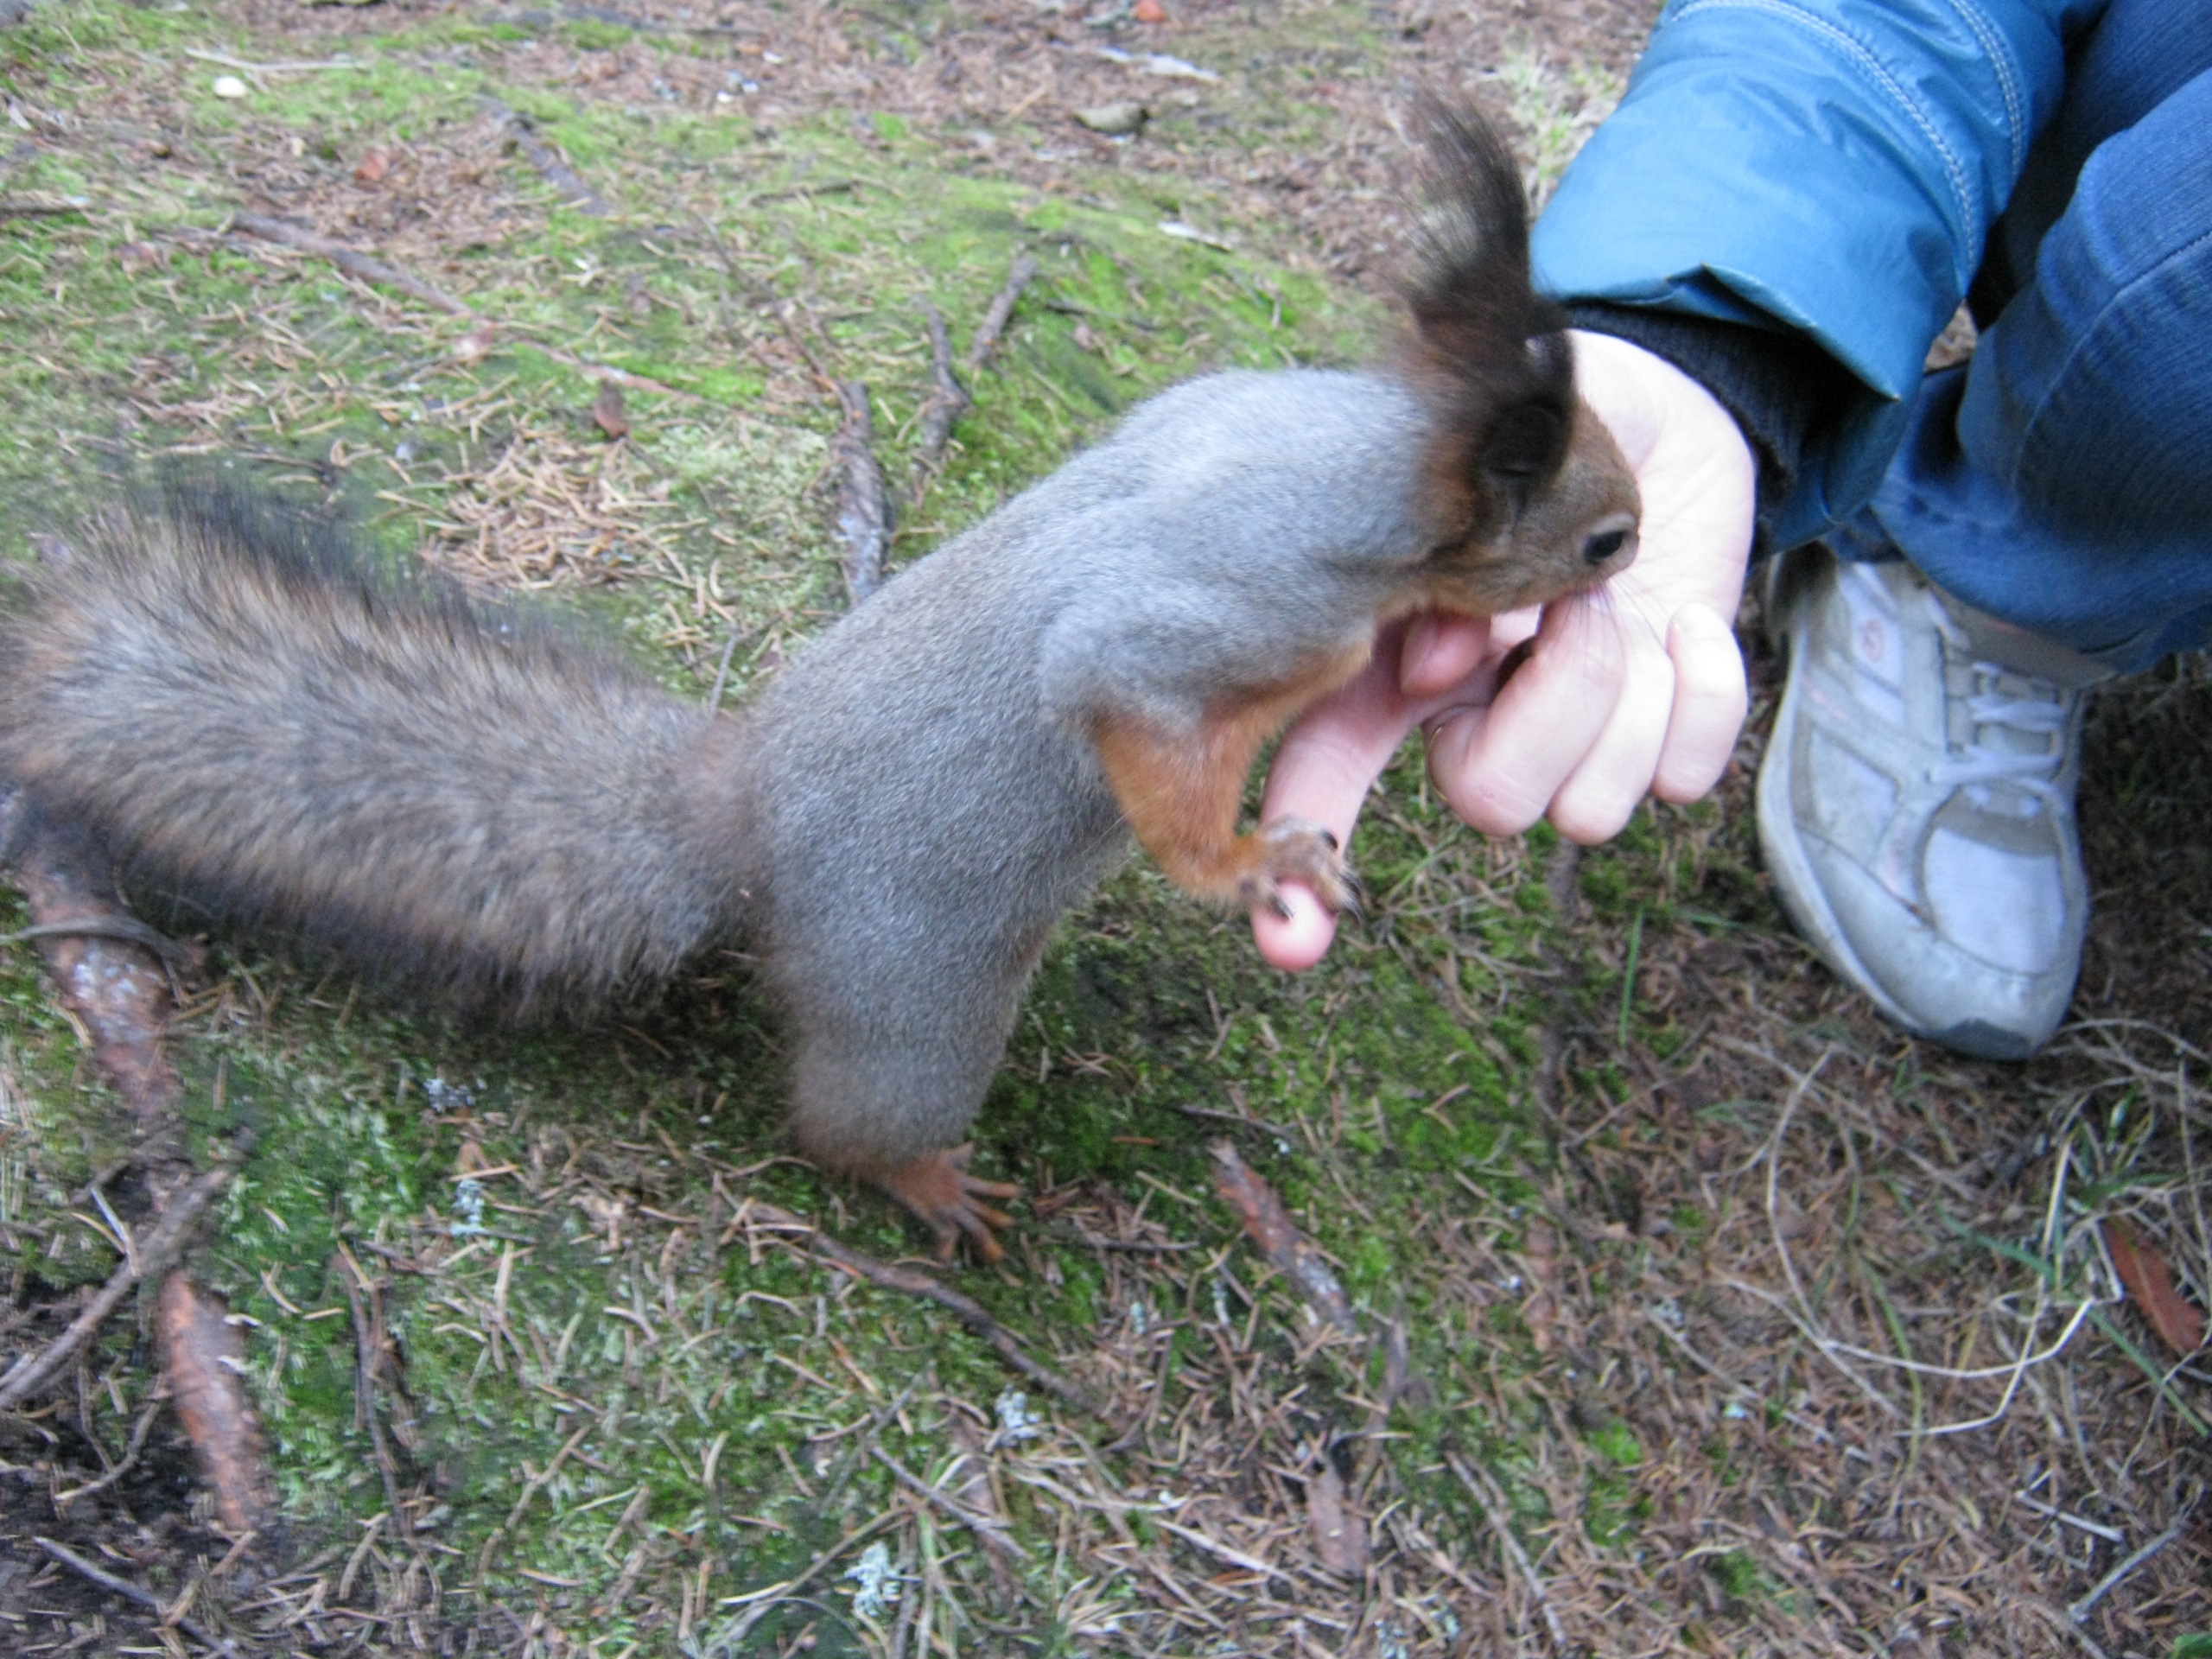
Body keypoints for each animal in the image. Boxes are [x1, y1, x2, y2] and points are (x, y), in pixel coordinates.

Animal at [0, 109, 1637, 1262]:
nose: (1632, 561)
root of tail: (743, 823)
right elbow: (1126, 697)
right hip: (920, 999)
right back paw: (927, 1181)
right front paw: (1245, 863)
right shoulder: (1239, 611)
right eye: (1602, 534)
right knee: (844, 1123)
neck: (1349, 464)